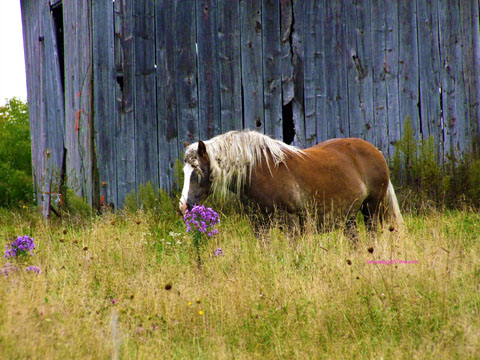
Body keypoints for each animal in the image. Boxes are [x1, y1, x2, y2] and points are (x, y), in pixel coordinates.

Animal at [178, 129, 404, 236]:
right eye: (184, 172)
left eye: (197, 172)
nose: (184, 207)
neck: (260, 171)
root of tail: (375, 151)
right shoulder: (259, 224)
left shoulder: (291, 223)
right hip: (348, 218)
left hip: (371, 210)